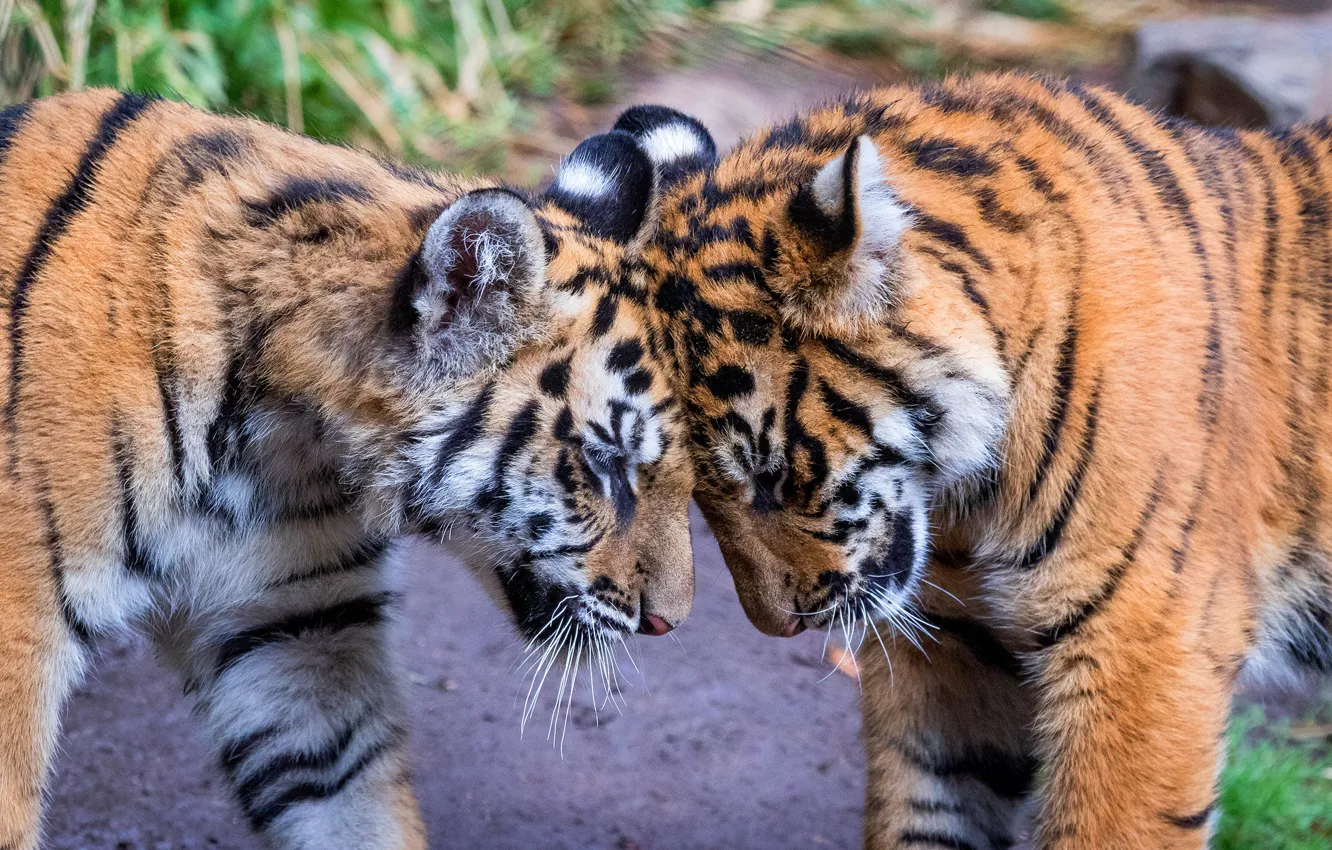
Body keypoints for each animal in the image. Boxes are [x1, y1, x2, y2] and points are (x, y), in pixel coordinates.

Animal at [0, 89, 700, 850]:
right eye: (606, 462)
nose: (670, 623)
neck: (282, 444)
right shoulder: (17, 643)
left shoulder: (294, 625)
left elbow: (350, 796)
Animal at [611, 75, 1332, 849]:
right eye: (698, 497)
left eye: (769, 475)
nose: (783, 627)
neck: (967, 491)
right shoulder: (958, 647)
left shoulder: (1140, 650)